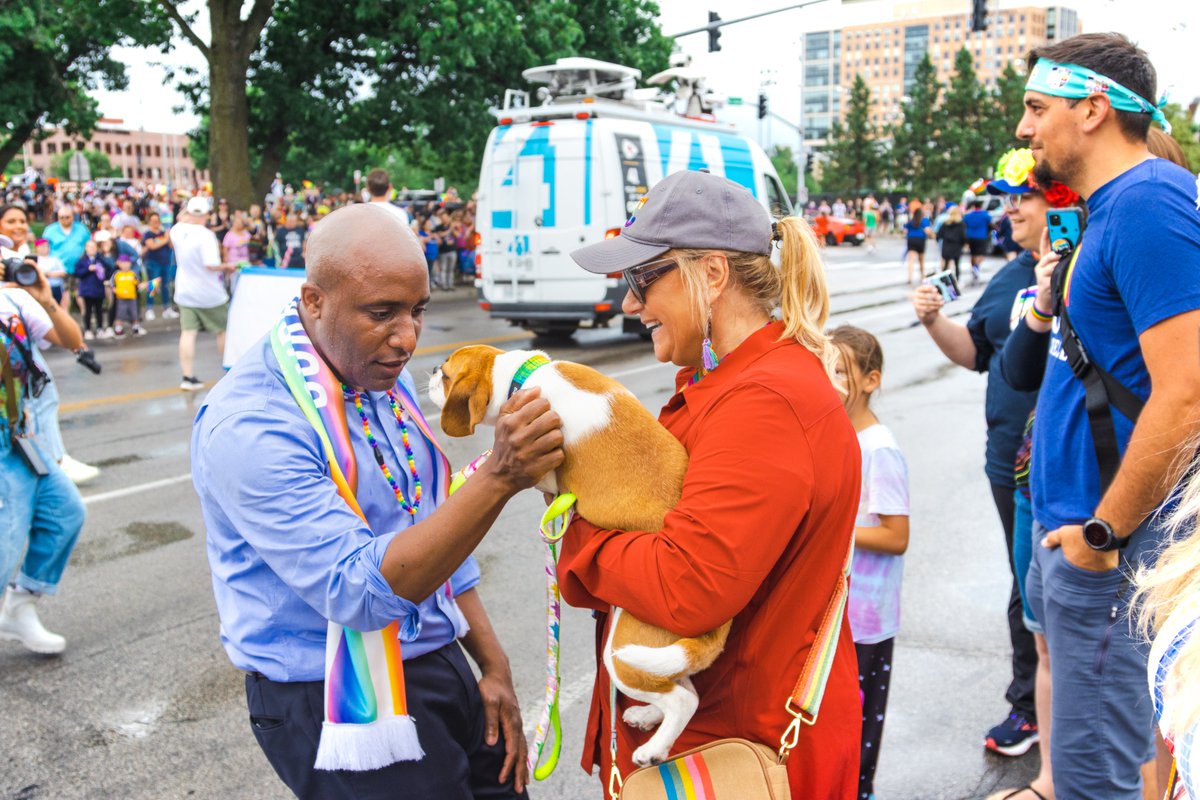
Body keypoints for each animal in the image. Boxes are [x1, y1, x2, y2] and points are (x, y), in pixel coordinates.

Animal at [432, 345, 729, 767]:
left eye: (444, 376)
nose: (428, 374)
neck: (524, 376)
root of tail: (718, 629)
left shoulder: (547, 471)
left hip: (623, 653)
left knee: (684, 701)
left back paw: (653, 749)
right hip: (661, 657)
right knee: (687, 690)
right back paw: (647, 716)